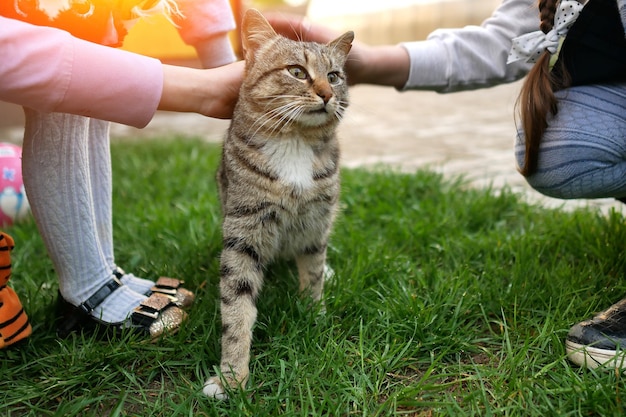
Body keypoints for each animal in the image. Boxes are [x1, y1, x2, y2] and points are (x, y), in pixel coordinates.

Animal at [204, 8, 354, 396]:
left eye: (334, 76)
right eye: (297, 72)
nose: (327, 94)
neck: (295, 142)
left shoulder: (317, 221)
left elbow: (312, 271)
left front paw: (314, 314)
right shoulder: (245, 229)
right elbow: (236, 305)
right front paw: (231, 377)